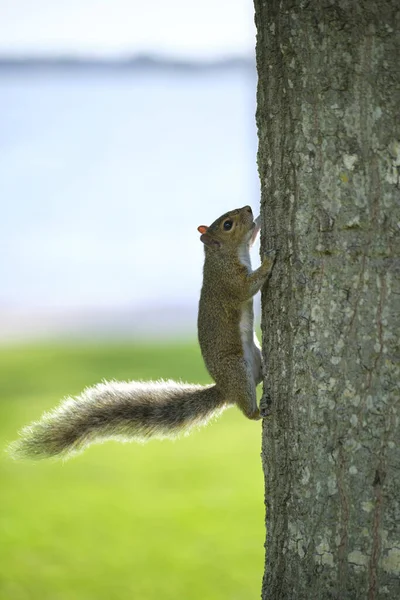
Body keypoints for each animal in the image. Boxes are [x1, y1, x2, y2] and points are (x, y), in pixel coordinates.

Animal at [8, 206, 276, 460]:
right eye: (227, 224)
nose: (248, 208)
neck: (222, 256)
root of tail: (224, 389)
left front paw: (258, 220)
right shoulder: (229, 282)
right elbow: (247, 287)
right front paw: (269, 261)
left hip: (254, 358)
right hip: (236, 370)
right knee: (248, 409)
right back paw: (258, 409)